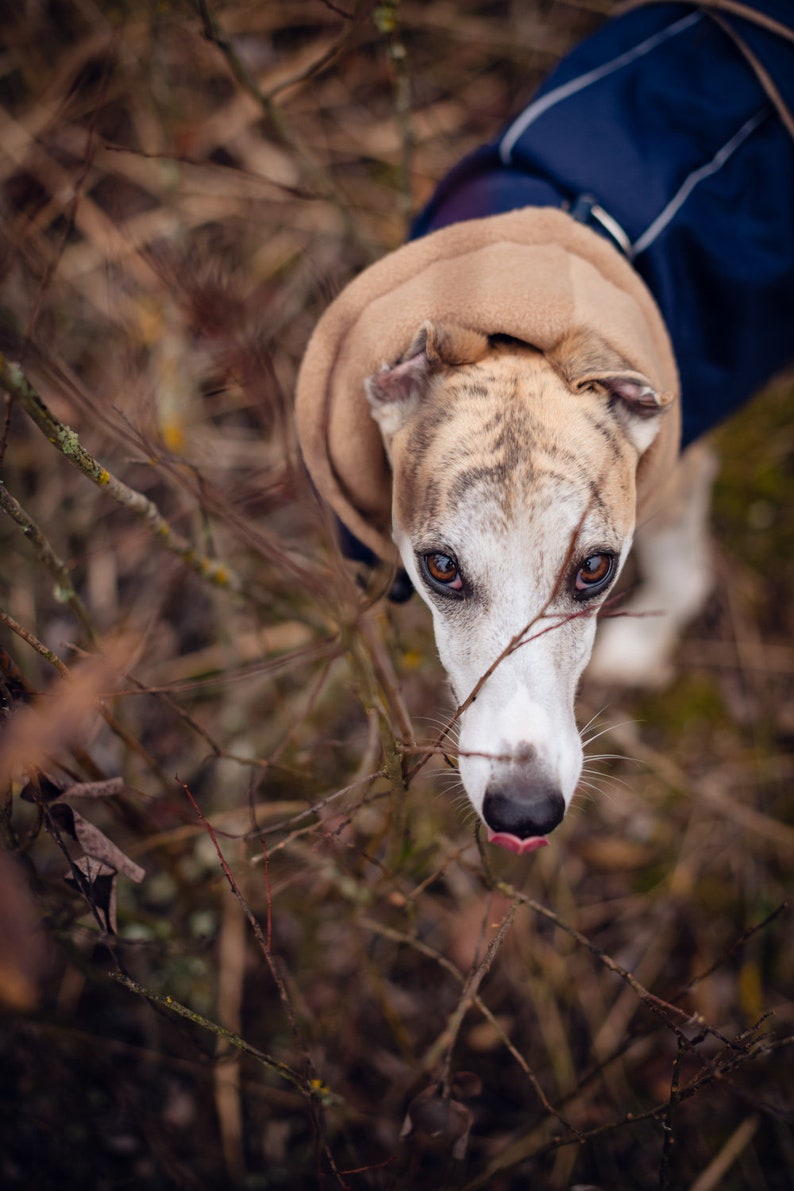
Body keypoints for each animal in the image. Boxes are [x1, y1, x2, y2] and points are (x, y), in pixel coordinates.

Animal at [297, 2, 794, 857]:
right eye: (441, 568)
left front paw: (645, 649)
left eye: (594, 569)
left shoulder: (677, 475)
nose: (525, 813)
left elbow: (685, 573)